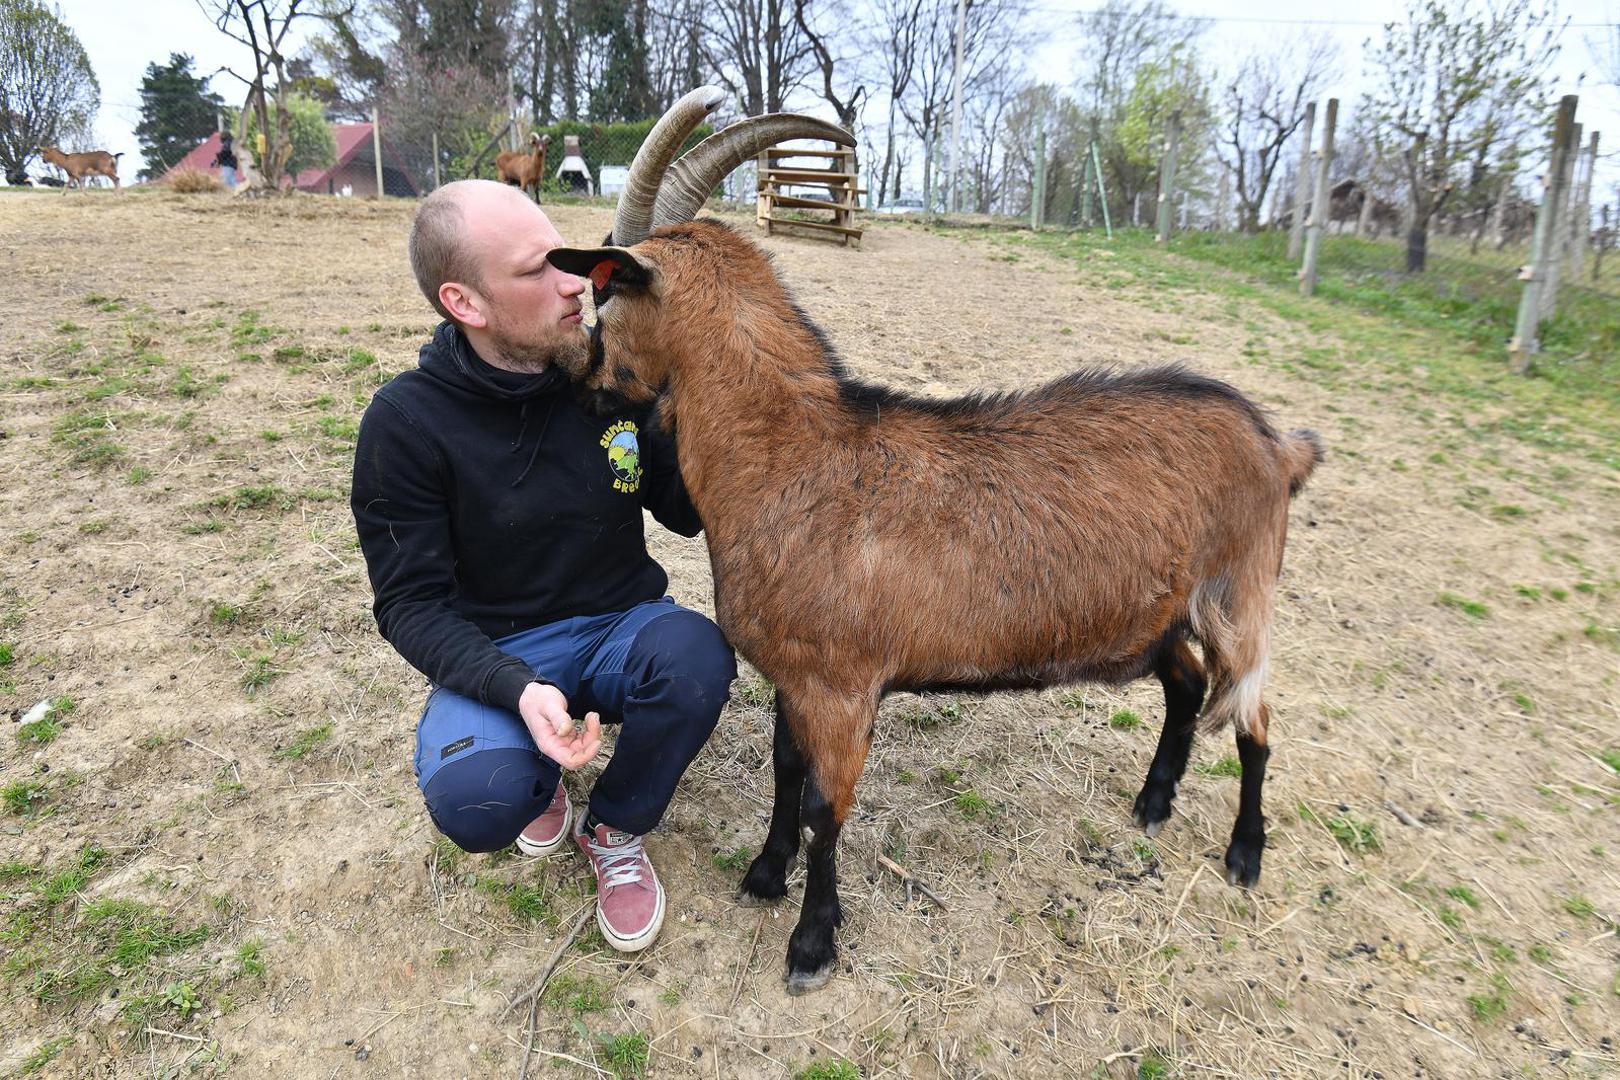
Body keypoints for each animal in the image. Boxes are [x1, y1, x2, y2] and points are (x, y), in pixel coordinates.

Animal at [550, 88, 1321, 990]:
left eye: (604, 298)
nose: (580, 385)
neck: (797, 460)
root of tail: (1277, 443)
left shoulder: (843, 688)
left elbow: (824, 808)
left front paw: (812, 944)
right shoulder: (795, 676)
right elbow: (784, 772)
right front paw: (765, 875)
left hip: (1242, 595)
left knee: (1254, 718)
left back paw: (1243, 854)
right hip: (1158, 610)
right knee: (1188, 684)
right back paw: (1154, 801)